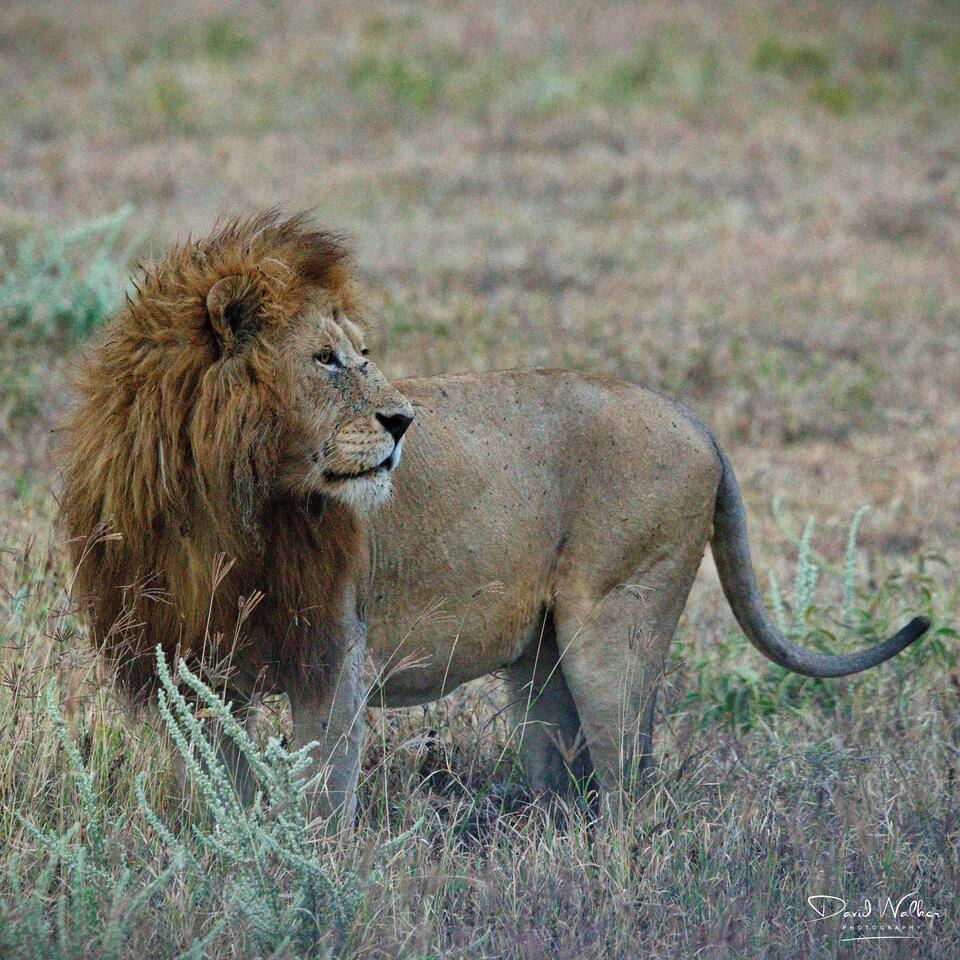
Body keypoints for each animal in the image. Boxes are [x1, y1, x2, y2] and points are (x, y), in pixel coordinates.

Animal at [60, 211, 930, 823]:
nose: (403, 420)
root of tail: (695, 418)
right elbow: (225, 785)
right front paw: (237, 853)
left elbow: (322, 794)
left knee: (629, 782)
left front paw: (307, 873)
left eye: (363, 354)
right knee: (564, 772)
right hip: (541, 663)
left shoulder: (333, 651)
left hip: (615, 626)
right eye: (325, 360)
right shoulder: (189, 667)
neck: (219, 505)